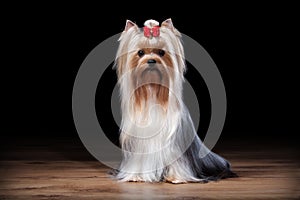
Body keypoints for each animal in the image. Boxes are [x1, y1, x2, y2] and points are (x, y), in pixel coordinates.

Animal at [113, 18, 236, 183]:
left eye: (161, 52)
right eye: (140, 53)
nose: (151, 60)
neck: (152, 91)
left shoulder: (174, 146)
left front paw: (176, 177)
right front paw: (136, 176)